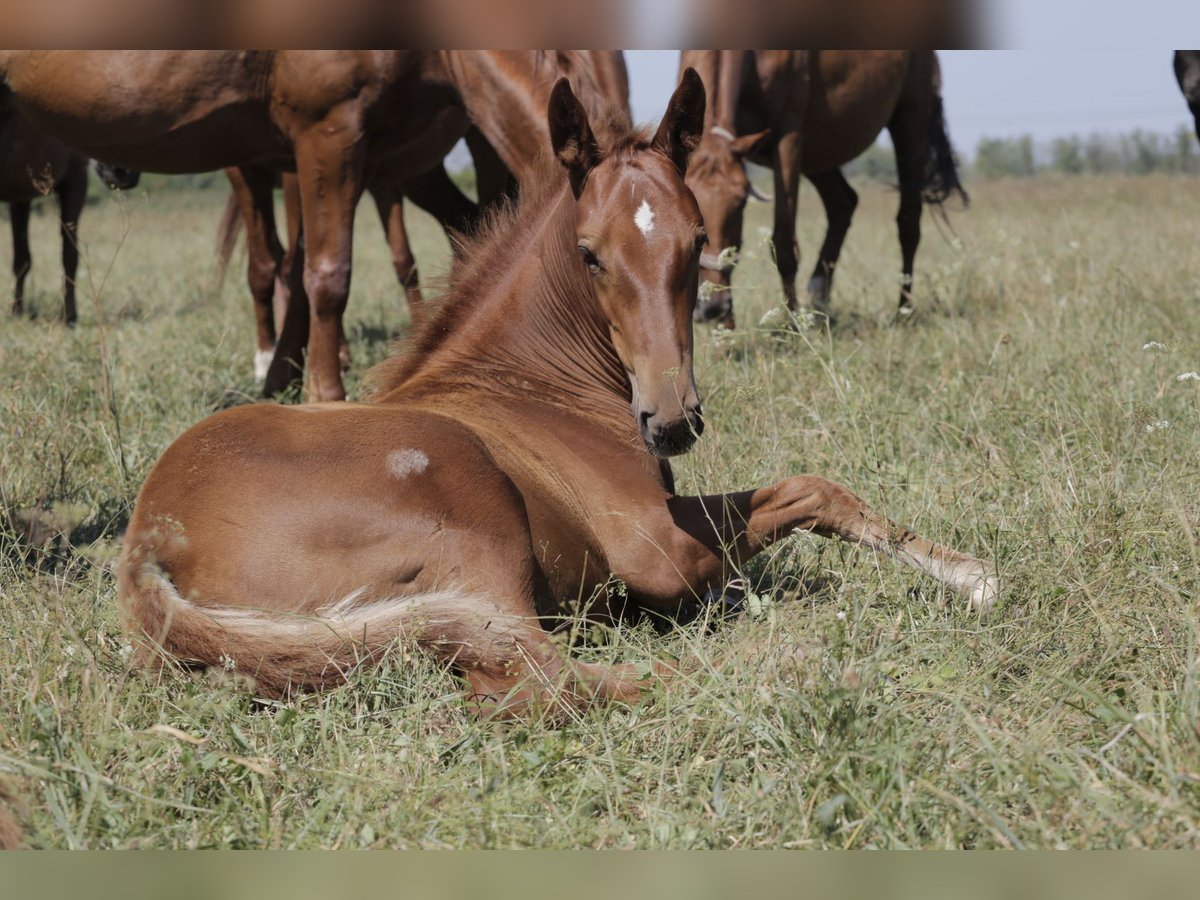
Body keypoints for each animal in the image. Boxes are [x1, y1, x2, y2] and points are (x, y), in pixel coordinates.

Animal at [0, 106, 139, 324]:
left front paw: (18, 313)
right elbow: (68, 254)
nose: (123, 171)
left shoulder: (22, 193)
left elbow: (25, 259)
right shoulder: (76, 178)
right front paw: (70, 316)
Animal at [681, 51, 969, 328]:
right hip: (819, 154)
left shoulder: (788, 137)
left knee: (908, 223)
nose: (711, 307)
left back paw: (903, 312)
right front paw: (727, 329)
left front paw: (791, 327)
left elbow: (784, 244)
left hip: (909, 123)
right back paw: (820, 295)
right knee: (843, 202)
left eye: (742, 203)